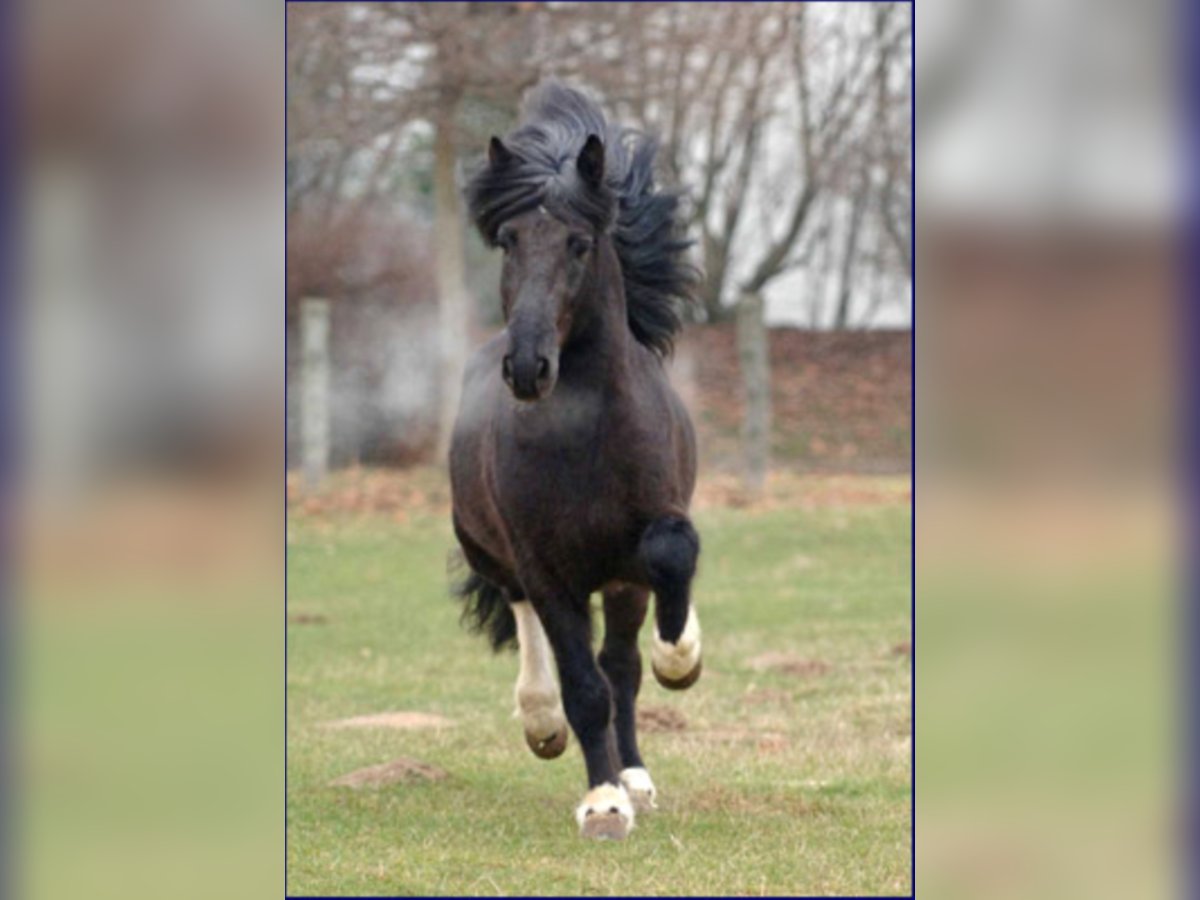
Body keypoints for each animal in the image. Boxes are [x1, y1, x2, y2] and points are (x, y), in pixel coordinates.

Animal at [451, 81, 700, 844]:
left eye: (579, 243)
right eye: (508, 240)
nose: (530, 366)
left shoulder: (648, 535)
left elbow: (672, 558)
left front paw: (680, 658)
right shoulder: (547, 568)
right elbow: (583, 687)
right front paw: (602, 802)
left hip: (619, 580)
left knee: (624, 664)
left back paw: (638, 769)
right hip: (495, 555)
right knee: (540, 639)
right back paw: (546, 726)